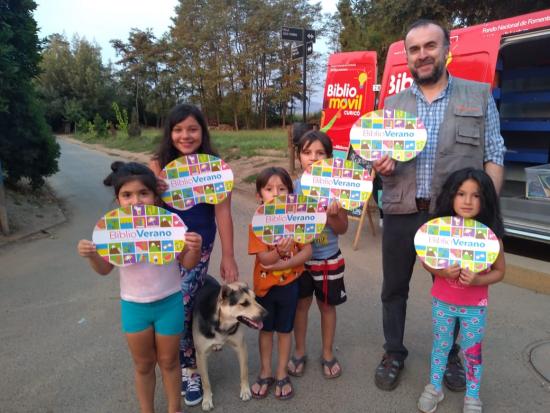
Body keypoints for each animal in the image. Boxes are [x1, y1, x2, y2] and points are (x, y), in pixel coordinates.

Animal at [192, 274, 268, 408]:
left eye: (255, 299)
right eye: (244, 303)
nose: (267, 314)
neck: (222, 323)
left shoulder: (241, 346)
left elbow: (244, 372)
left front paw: (245, 390)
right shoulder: (200, 354)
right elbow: (205, 381)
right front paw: (207, 399)